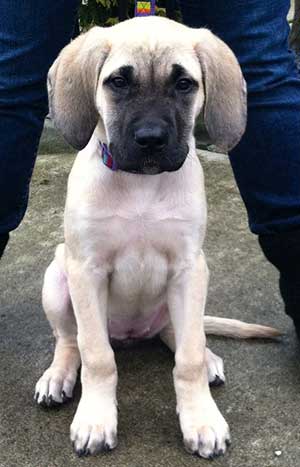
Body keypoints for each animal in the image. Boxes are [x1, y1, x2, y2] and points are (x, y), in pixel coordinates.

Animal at [34, 15, 278, 460]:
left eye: (184, 84)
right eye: (118, 82)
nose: (151, 139)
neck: (141, 187)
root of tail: (131, 335)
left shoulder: (188, 269)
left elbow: (188, 358)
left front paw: (201, 419)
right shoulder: (86, 271)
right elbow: (96, 356)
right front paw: (95, 419)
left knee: (182, 335)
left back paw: (209, 357)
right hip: (56, 280)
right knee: (69, 340)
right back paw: (58, 375)